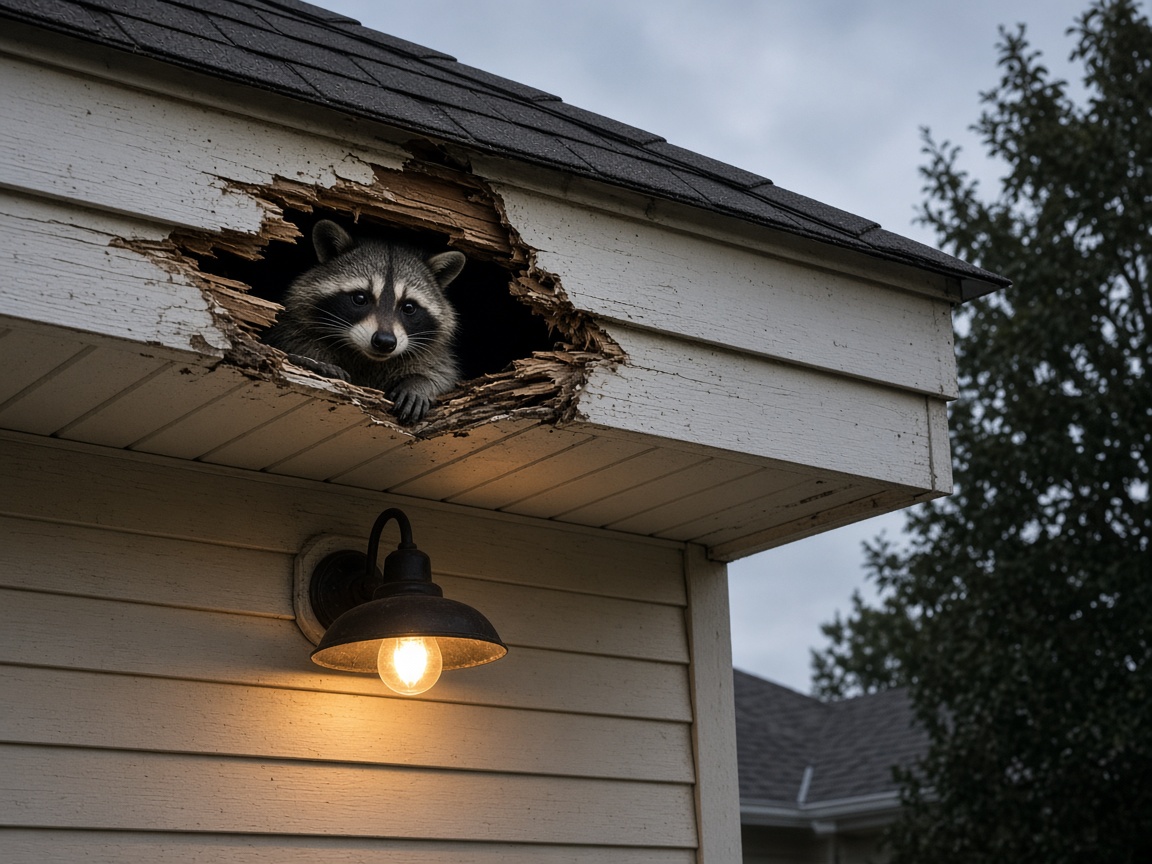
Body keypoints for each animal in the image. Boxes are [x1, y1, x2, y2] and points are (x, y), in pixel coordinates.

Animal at [263, 220, 466, 424]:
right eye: (360, 298)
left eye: (408, 307)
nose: (385, 342)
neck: (366, 357)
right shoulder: (291, 326)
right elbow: (290, 342)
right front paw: (312, 360)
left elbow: (444, 372)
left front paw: (420, 382)